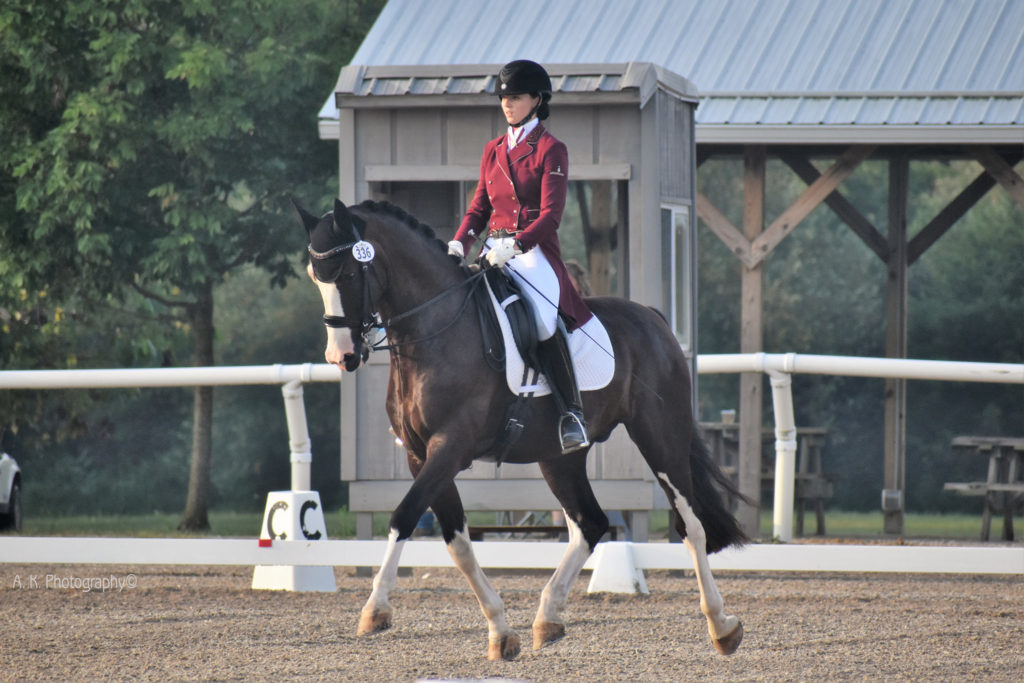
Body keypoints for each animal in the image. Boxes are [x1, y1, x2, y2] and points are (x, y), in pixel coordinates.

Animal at [294, 197, 745, 663]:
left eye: (348, 274)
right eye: (315, 276)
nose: (341, 356)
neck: (435, 330)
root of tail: (654, 319)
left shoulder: (450, 448)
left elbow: (404, 516)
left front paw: (375, 609)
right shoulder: (421, 456)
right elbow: (457, 541)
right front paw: (500, 630)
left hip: (660, 437)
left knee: (690, 524)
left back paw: (721, 625)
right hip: (560, 458)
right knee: (590, 523)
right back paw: (548, 618)